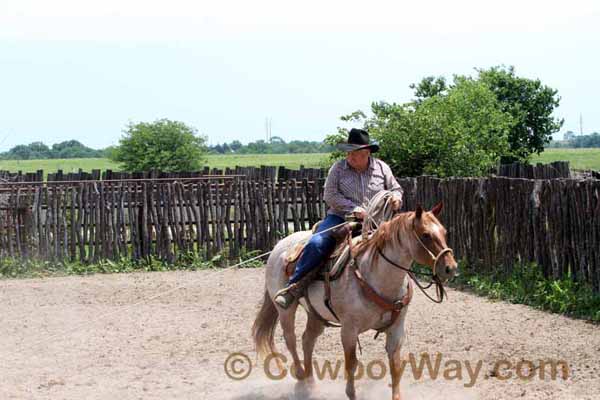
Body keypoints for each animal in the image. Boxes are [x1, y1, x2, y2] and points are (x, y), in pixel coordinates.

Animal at [251, 203, 458, 400]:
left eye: (444, 232)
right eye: (425, 235)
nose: (451, 268)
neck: (377, 276)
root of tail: (279, 246)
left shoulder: (397, 328)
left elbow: (395, 365)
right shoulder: (349, 330)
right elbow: (351, 364)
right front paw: (351, 394)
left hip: (316, 314)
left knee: (307, 340)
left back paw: (310, 384)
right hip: (285, 309)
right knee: (291, 339)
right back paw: (301, 378)